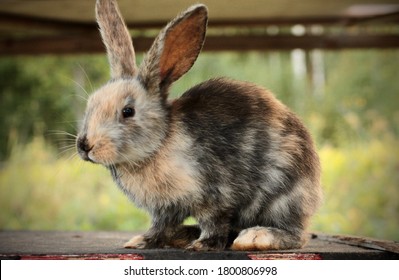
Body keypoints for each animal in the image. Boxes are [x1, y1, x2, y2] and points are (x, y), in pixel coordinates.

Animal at [76, 0, 324, 250]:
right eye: (90, 104)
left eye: (128, 112)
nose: (85, 145)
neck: (159, 144)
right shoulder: (164, 209)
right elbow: (160, 227)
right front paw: (140, 241)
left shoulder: (214, 196)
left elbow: (214, 223)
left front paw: (202, 245)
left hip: (283, 197)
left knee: (296, 234)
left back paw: (254, 237)